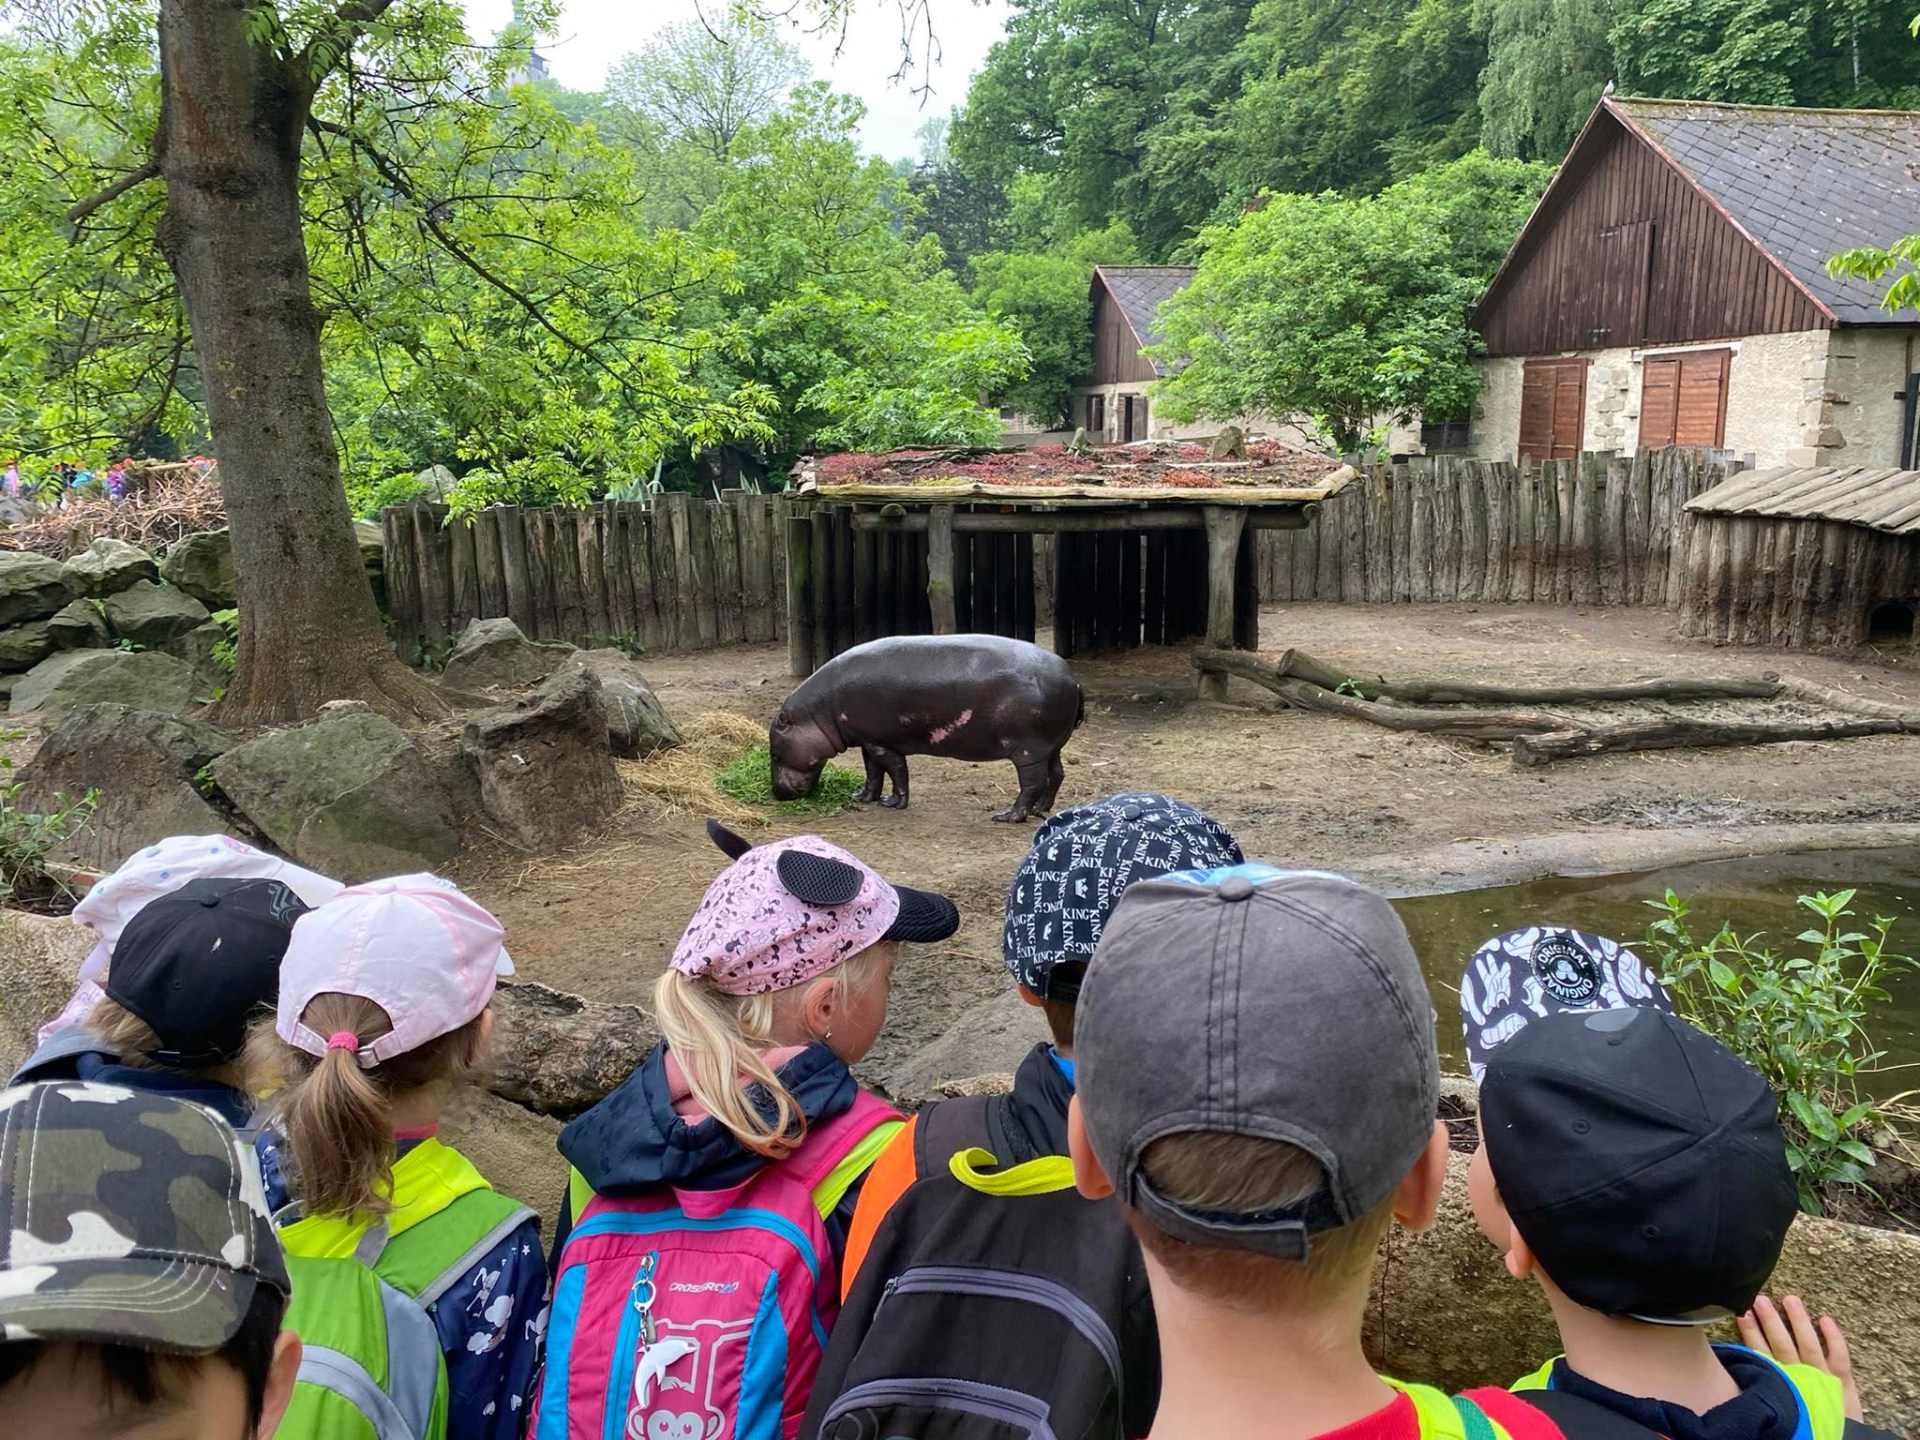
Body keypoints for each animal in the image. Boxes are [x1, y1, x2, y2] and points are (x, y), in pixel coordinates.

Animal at [770, 635, 1084, 822]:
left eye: (773, 753)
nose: (777, 793)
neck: (818, 712)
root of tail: (1074, 680)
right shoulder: (869, 741)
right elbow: (873, 772)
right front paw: (863, 797)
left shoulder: (881, 743)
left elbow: (896, 771)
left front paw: (893, 803)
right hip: (1052, 745)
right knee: (1057, 774)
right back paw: (1041, 810)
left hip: (1028, 750)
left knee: (1033, 783)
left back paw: (1008, 816)